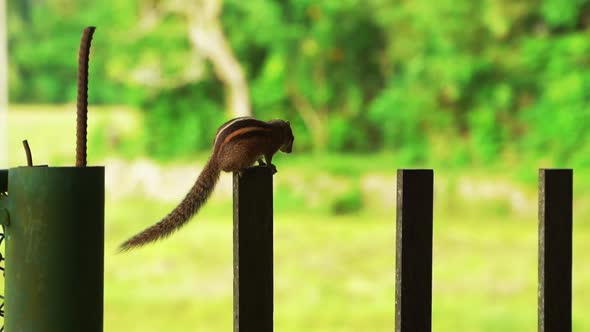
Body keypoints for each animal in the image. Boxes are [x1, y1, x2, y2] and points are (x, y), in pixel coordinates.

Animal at [120, 117, 296, 252]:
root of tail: (215, 155)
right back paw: (240, 169)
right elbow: (268, 159)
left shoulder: (260, 152)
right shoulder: (269, 149)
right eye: (292, 137)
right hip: (241, 155)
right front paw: (270, 167)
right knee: (229, 168)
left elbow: (260, 159)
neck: (275, 129)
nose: (290, 151)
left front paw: (262, 164)